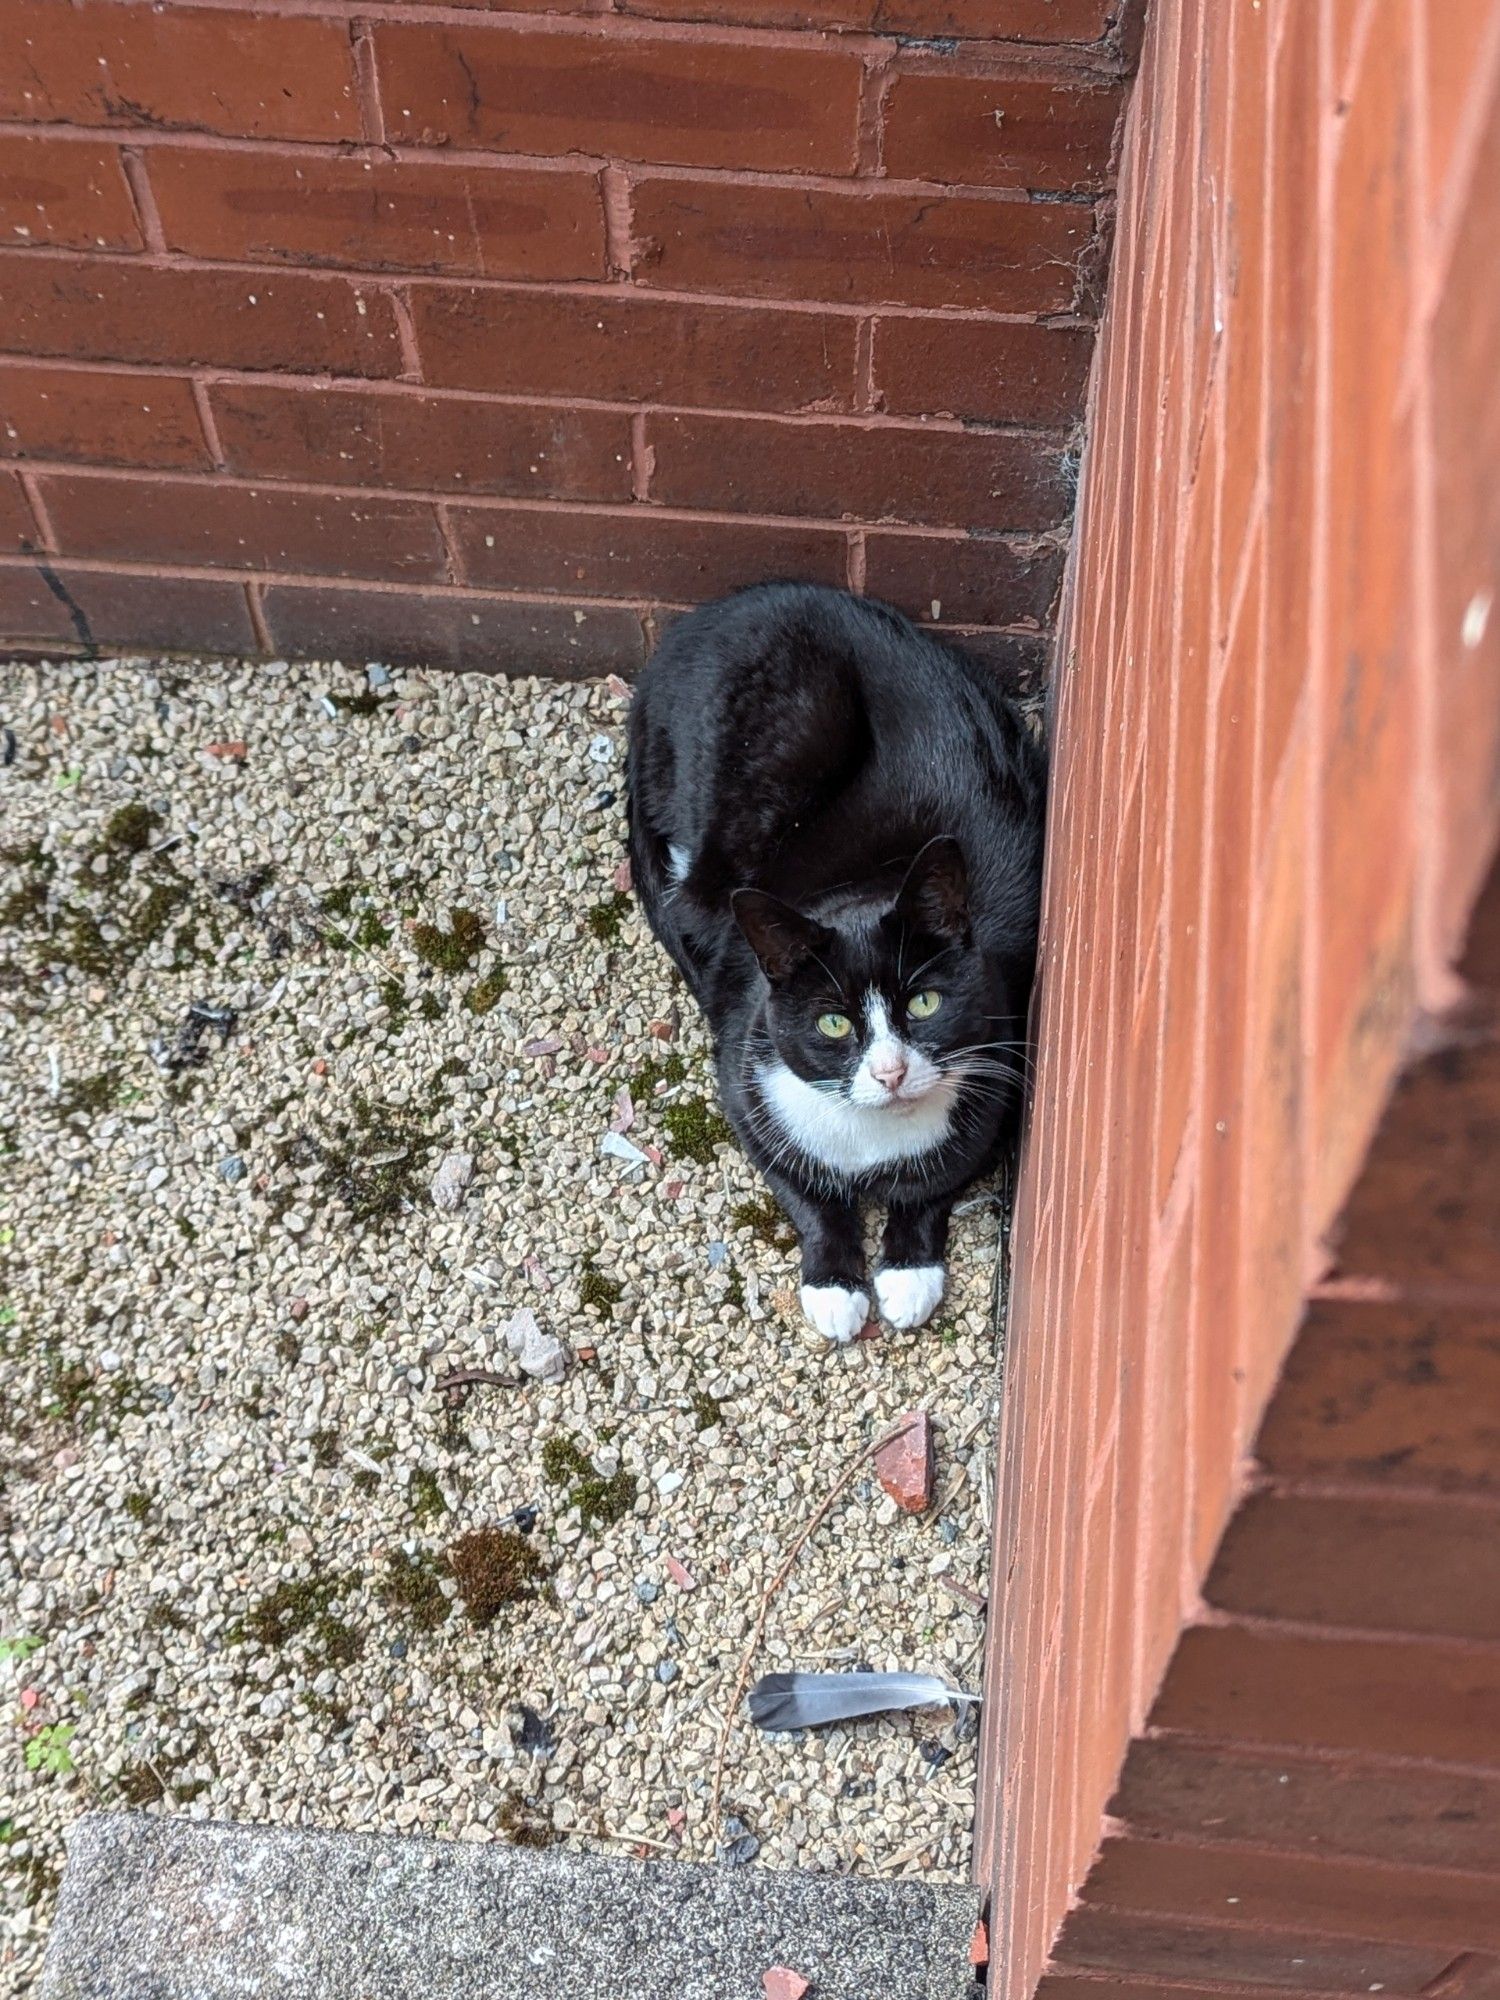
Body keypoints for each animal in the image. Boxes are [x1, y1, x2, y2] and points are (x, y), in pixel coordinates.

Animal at [624, 584, 1048, 1352]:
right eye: (832, 1022)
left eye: (923, 1004)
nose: (890, 1072)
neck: (870, 1139)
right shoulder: (746, 1083)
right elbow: (805, 1189)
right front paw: (835, 1286)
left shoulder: (999, 1064)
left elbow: (936, 1180)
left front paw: (908, 1274)